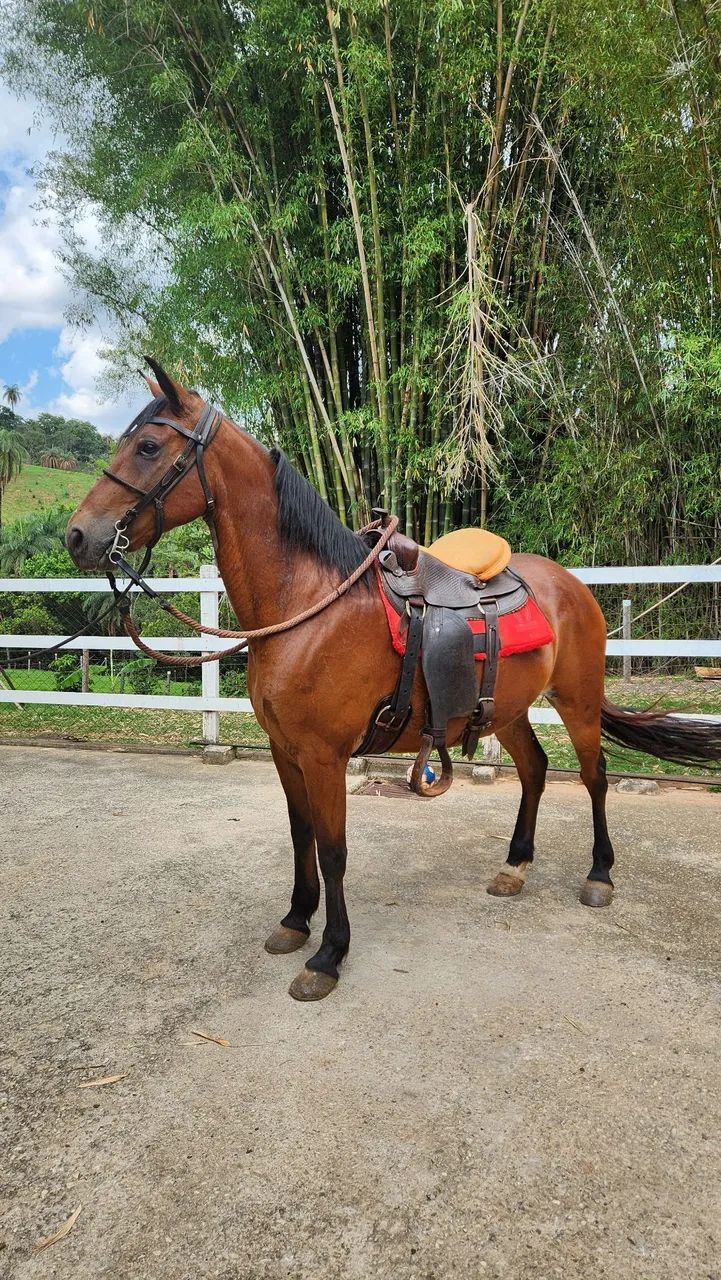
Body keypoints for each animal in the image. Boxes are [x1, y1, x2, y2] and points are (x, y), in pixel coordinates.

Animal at [66, 362, 721, 1000]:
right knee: (535, 772)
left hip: (577, 702)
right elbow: (301, 834)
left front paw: (328, 956)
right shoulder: (285, 750)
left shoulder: (325, 755)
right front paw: (295, 922)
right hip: (505, 710)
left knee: (594, 777)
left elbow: (333, 850)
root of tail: (572, 584)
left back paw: (599, 874)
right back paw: (514, 867)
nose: (78, 536)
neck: (308, 606)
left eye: (149, 446)